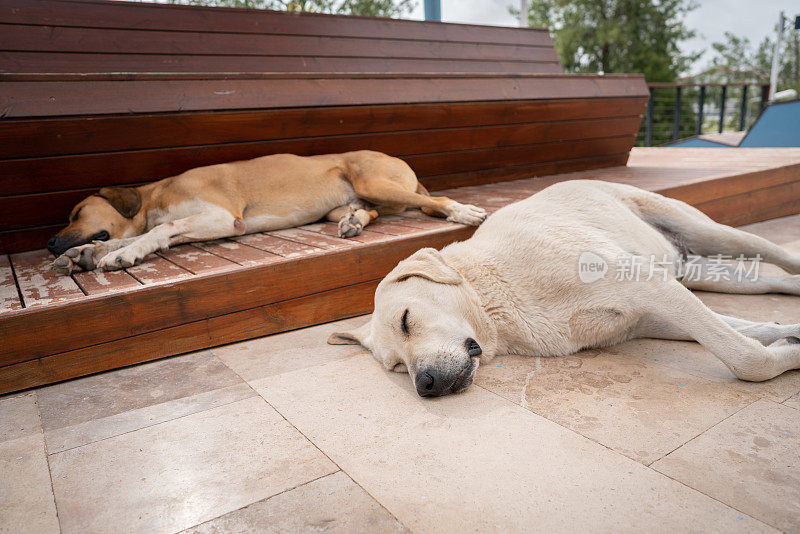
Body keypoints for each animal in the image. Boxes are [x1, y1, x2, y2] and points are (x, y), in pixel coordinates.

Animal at [50, 152, 488, 274]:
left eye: (76, 211)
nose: (51, 242)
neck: (155, 193)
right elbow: (136, 235)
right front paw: (87, 253)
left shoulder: (224, 217)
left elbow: (160, 230)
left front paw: (122, 254)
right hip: (344, 205)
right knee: (371, 214)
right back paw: (354, 222)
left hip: (373, 181)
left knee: (435, 201)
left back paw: (463, 211)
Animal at [330, 180, 800, 398]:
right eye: (396, 367)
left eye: (407, 321)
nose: (424, 385)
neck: (496, 292)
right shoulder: (654, 316)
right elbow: (748, 331)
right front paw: (790, 339)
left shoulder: (646, 284)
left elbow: (745, 357)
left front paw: (780, 357)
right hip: (705, 274)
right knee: (777, 281)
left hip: (716, 234)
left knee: (779, 254)